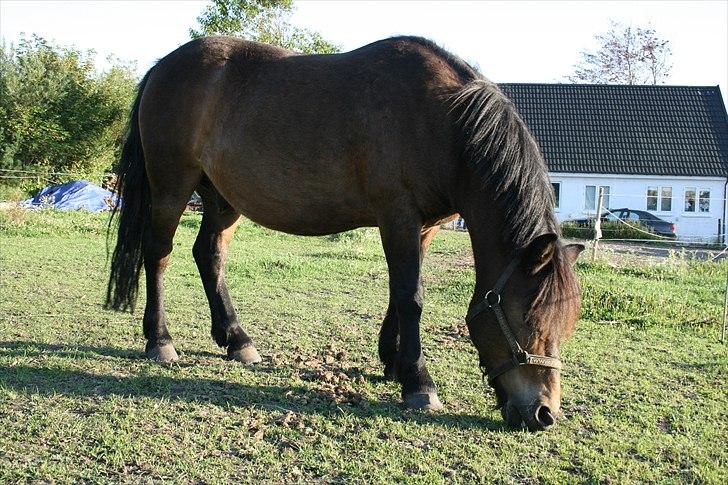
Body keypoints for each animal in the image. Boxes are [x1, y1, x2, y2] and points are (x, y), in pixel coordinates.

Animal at [106, 37, 584, 432]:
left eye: (566, 324)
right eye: (530, 321)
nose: (544, 414)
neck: (444, 123)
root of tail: (164, 66)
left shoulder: (424, 228)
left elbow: (399, 294)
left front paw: (393, 363)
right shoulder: (398, 218)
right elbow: (411, 296)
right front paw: (419, 383)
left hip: (222, 199)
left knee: (209, 256)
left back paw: (237, 340)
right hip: (171, 186)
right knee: (159, 254)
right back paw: (160, 340)